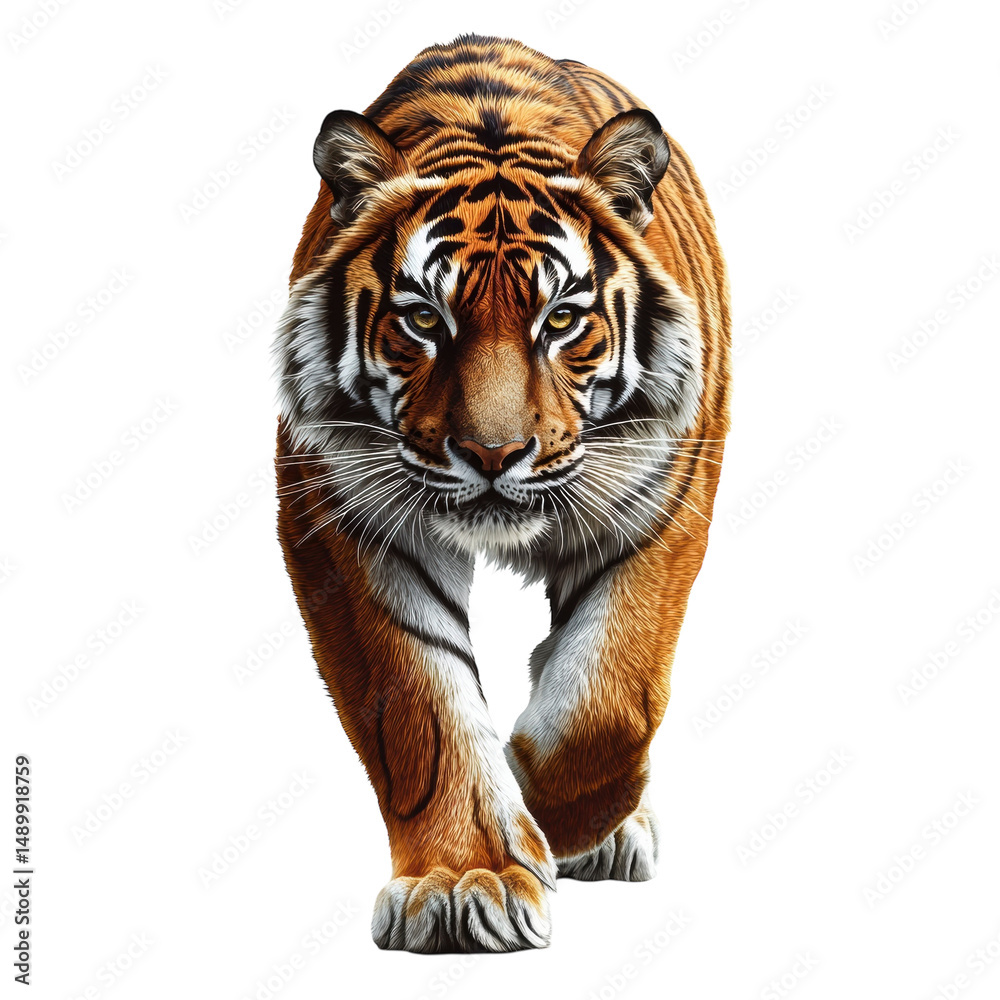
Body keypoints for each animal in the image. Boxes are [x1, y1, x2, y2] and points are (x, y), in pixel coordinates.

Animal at [274, 34, 730, 953]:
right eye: (423, 319)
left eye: (560, 321)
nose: (493, 453)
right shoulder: (341, 514)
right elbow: (421, 707)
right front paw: (463, 880)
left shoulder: (666, 498)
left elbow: (608, 695)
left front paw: (550, 809)